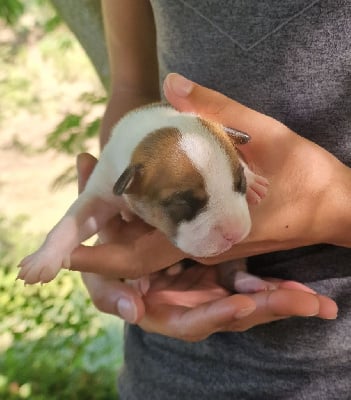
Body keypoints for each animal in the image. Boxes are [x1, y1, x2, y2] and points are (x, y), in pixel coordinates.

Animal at [17, 103, 272, 290]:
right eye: (182, 203)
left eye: (239, 183)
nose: (234, 234)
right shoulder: (101, 192)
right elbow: (70, 223)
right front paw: (43, 257)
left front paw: (254, 182)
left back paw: (249, 282)